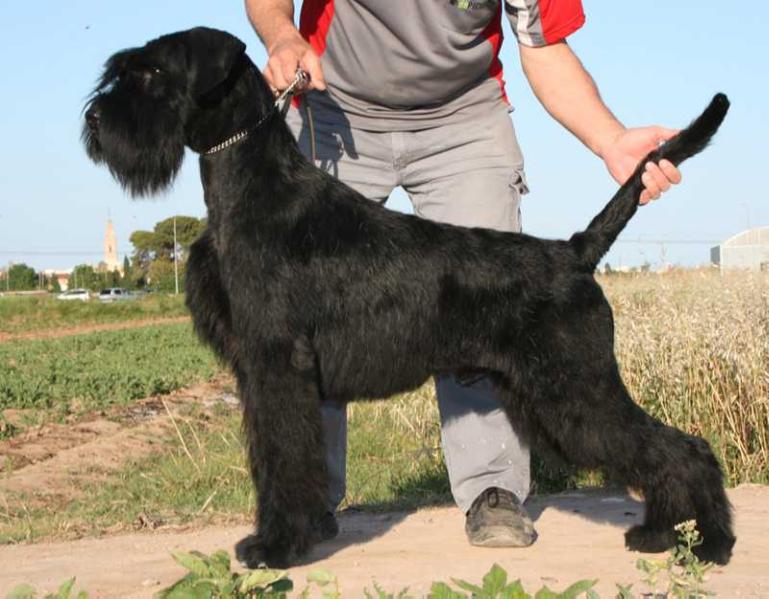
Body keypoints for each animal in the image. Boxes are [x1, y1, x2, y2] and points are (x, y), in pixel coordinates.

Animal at [81, 27, 736, 568]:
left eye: (151, 73)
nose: (94, 120)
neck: (252, 185)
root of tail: (574, 252)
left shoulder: (275, 364)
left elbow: (284, 456)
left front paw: (276, 547)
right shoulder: (261, 372)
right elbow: (271, 457)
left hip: (576, 390)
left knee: (685, 448)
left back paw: (712, 544)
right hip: (552, 393)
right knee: (661, 452)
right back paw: (659, 533)